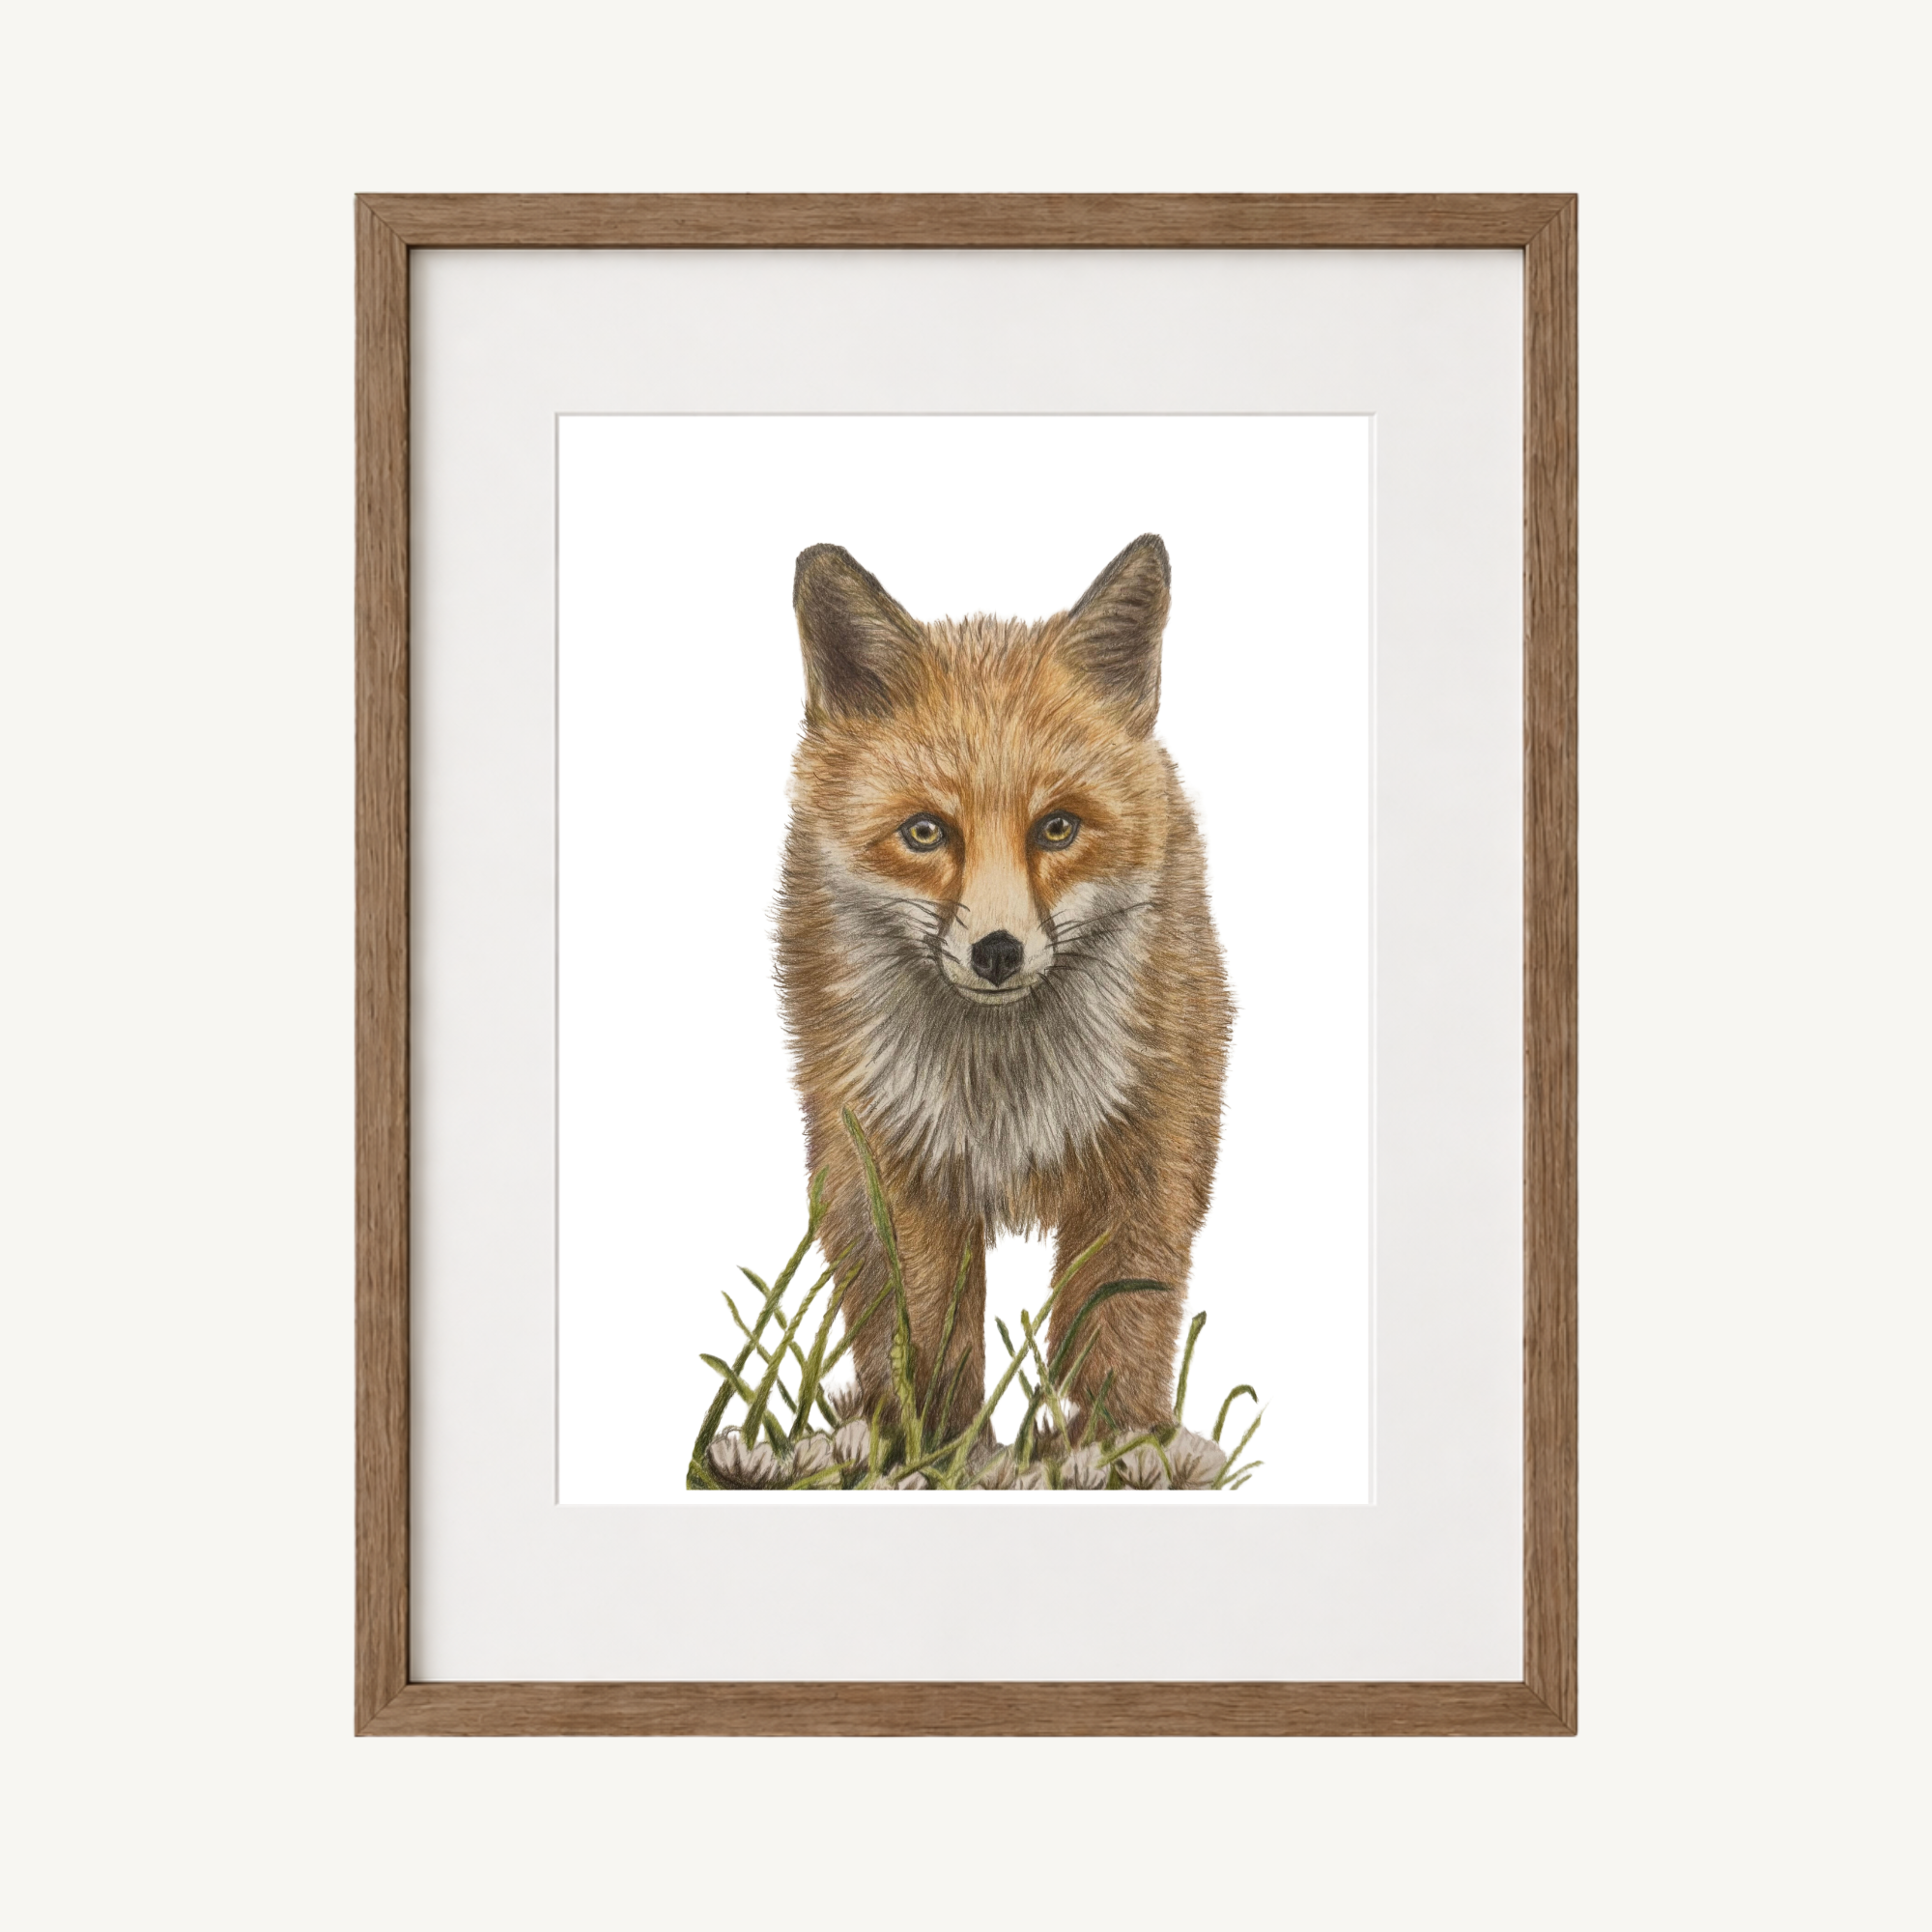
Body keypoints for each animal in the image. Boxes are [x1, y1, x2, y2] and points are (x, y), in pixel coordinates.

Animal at [776, 533, 1232, 1440]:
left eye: (1057, 827)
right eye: (925, 832)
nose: (996, 953)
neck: (1002, 1087)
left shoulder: (1154, 1149)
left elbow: (1119, 1330)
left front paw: (1116, 1446)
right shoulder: (897, 1160)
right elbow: (929, 1337)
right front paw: (944, 1449)